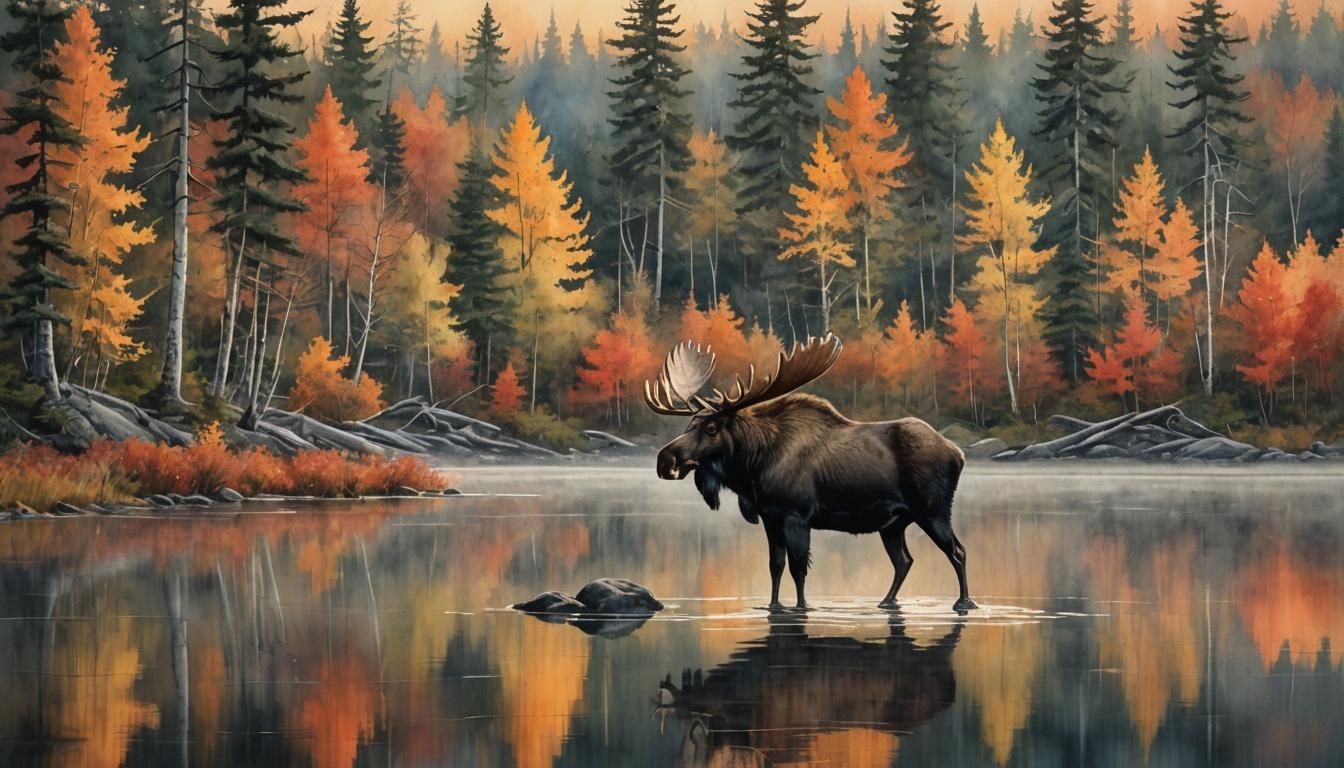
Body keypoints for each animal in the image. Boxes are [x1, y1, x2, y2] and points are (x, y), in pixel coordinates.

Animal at [645, 333, 976, 612]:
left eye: (712, 428)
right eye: (689, 425)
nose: (665, 460)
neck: (753, 466)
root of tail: (958, 453)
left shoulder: (797, 515)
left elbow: (798, 567)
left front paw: (802, 607)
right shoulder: (771, 516)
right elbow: (775, 565)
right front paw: (773, 605)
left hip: (932, 512)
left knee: (958, 551)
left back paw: (964, 602)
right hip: (893, 524)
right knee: (904, 561)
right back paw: (886, 602)